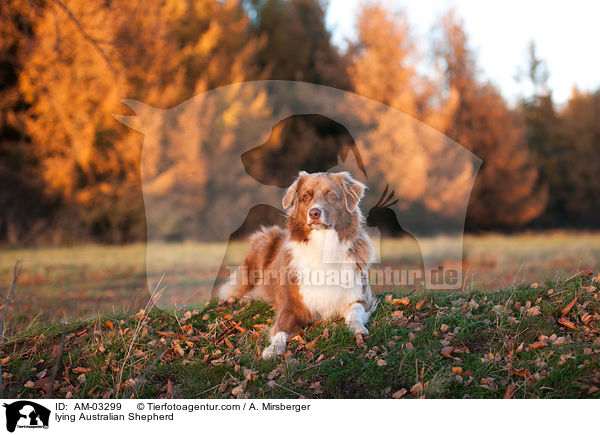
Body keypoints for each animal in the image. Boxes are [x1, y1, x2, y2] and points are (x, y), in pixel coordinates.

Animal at [218, 172, 372, 360]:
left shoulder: (359, 298)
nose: (314, 213)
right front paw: (273, 348)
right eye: (306, 196)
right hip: (264, 242)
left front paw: (357, 327)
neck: (323, 246)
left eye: (331, 195)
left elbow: (354, 313)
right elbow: (280, 329)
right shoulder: (291, 306)